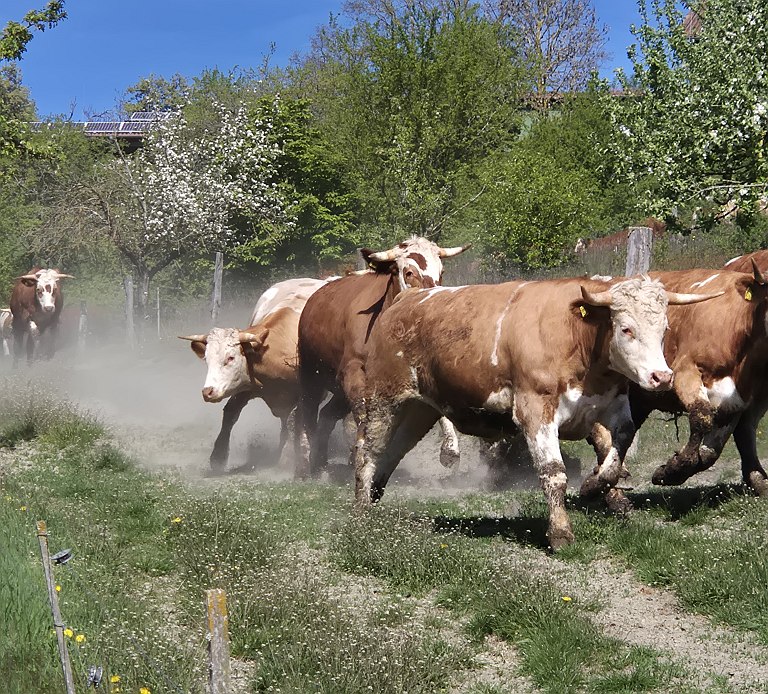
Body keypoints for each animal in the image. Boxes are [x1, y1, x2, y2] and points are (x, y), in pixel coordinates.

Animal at [179, 277, 334, 471]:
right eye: (207, 359)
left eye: (230, 358)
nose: (208, 391)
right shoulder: (247, 384)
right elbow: (230, 413)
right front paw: (218, 456)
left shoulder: (307, 393)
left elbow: (297, 421)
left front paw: (292, 456)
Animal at [297, 236, 469, 478]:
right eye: (408, 272)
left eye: (441, 271)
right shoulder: (353, 371)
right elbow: (362, 412)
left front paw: (450, 450)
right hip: (310, 374)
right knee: (307, 413)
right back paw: (305, 462)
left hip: (338, 390)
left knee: (327, 416)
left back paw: (319, 461)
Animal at [355, 276, 718, 549]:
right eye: (626, 328)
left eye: (664, 329)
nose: (662, 377)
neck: (576, 337)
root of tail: (407, 298)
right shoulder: (535, 410)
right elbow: (554, 473)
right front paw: (560, 532)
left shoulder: (611, 406)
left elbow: (615, 456)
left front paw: (598, 489)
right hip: (382, 398)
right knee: (368, 450)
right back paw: (361, 508)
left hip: (419, 409)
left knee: (394, 450)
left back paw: (374, 498)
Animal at [614, 265, 768, 496]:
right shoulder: (685, 369)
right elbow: (701, 418)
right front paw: (672, 470)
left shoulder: (738, 398)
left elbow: (713, 449)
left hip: (639, 400)